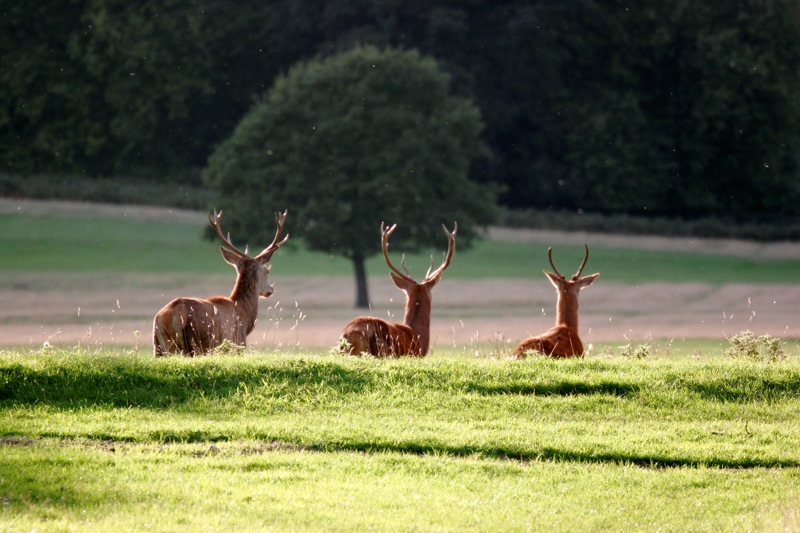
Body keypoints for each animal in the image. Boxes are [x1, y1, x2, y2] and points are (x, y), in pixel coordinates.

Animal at [152, 210, 288, 356]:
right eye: (267, 270)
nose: (270, 289)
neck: (244, 316)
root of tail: (167, 318)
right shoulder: (237, 344)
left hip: (159, 346)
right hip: (191, 346)